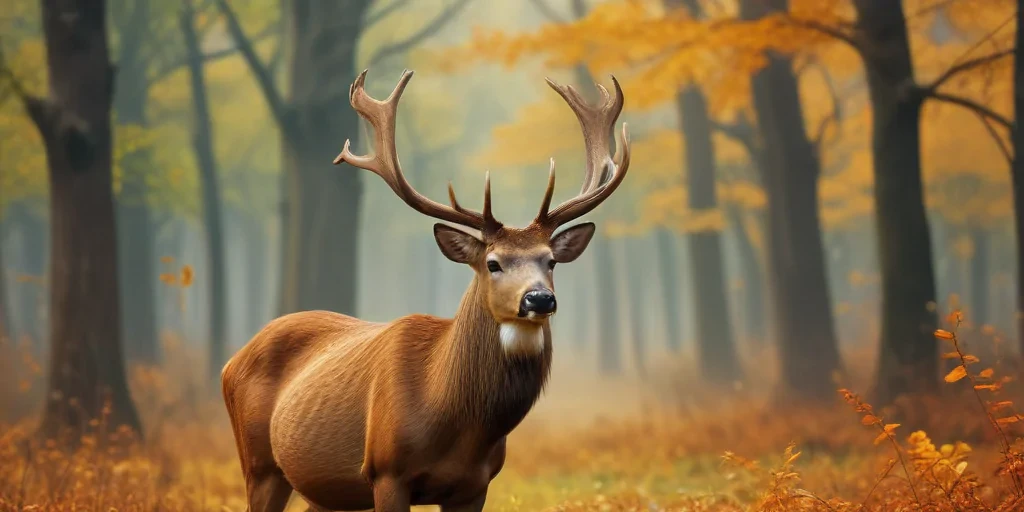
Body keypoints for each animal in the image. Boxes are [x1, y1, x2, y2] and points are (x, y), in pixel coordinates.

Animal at [220, 69, 630, 512]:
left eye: (550, 261)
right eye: (493, 263)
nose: (539, 298)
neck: (455, 421)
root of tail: (231, 361)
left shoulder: (476, 485)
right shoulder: (386, 471)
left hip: (323, 490)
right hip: (259, 463)